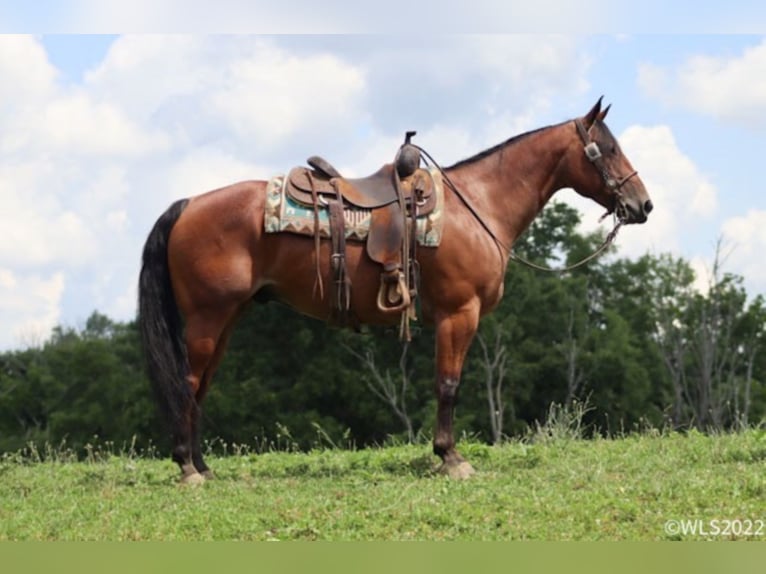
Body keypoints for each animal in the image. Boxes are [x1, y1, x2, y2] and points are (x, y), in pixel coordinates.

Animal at [138, 99, 656, 486]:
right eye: (607, 149)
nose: (643, 205)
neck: (478, 205)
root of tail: (188, 205)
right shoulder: (458, 313)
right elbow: (448, 384)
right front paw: (451, 457)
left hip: (227, 318)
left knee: (201, 386)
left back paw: (202, 465)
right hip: (208, 318)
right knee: (188, 383)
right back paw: (187, 468)